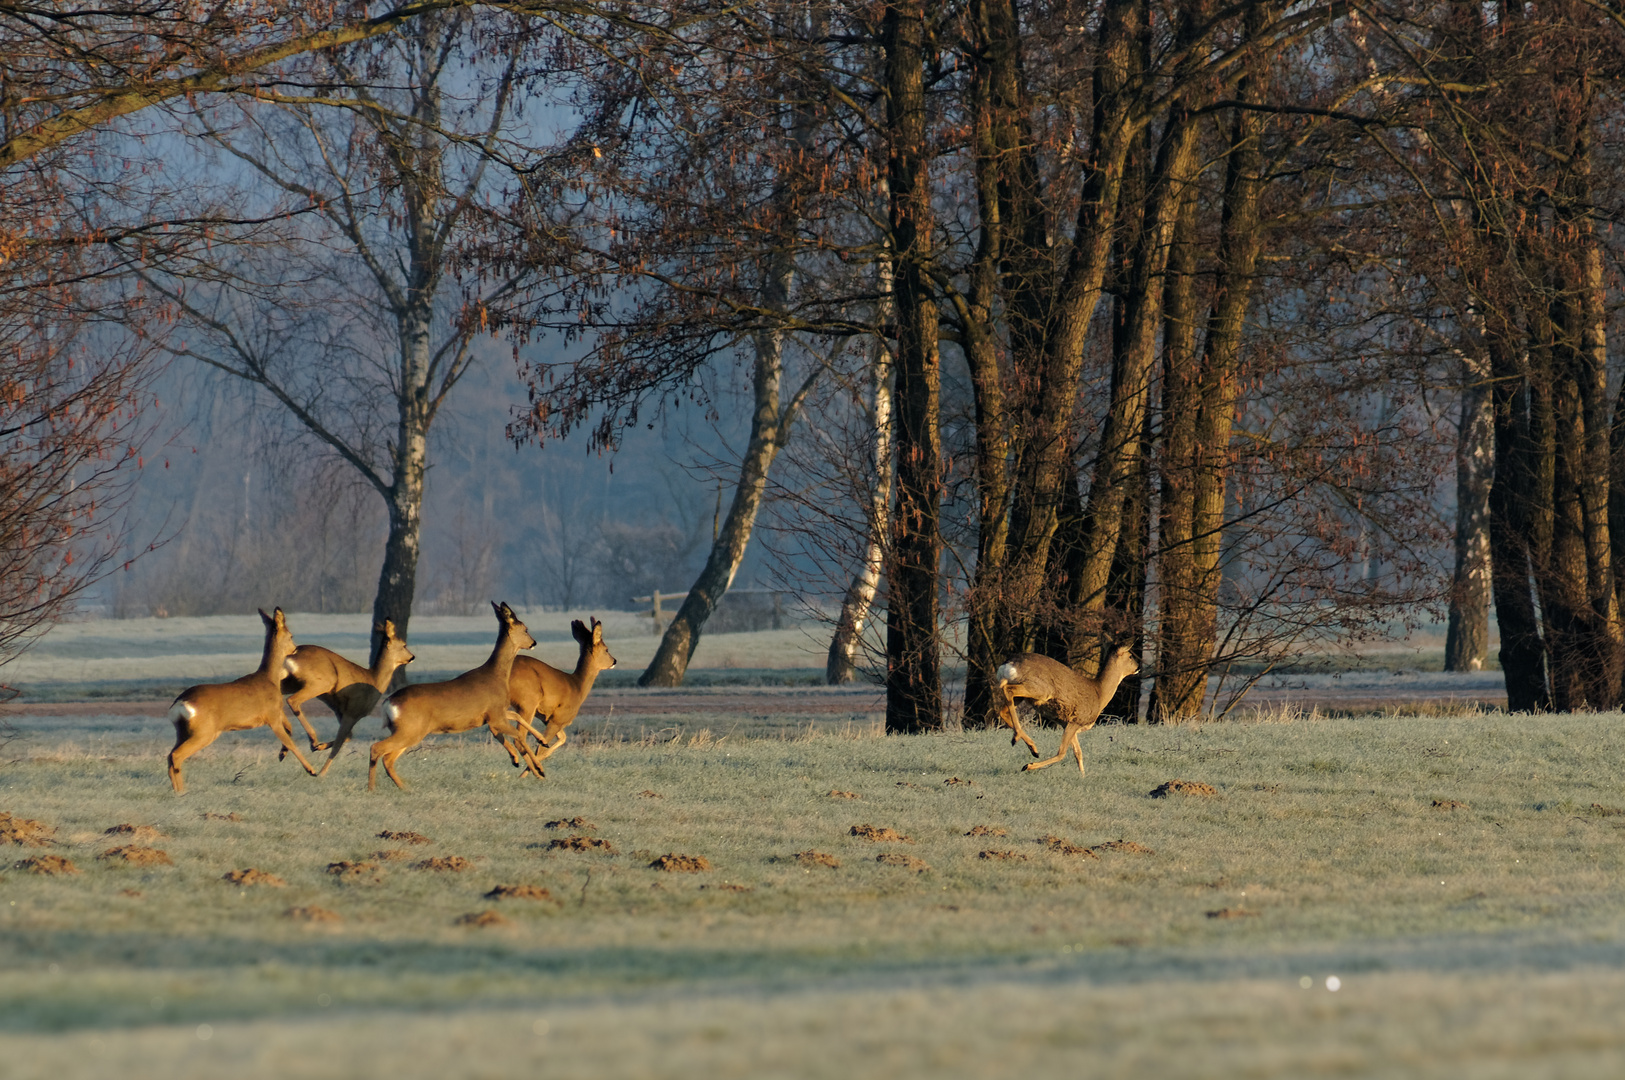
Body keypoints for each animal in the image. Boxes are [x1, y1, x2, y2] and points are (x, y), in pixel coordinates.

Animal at [166, 607, 318, 792]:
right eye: (291, 636)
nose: (295, 649)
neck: (270, 678)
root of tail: (180, 703)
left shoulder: (276, 711)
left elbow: (289, 728)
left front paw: (283, 754)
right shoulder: (272, 717)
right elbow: (290, 742)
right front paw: (312, 770)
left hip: (183, 732)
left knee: (170, 756)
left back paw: (179, 790)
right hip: (204, 732)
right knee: (176, 755)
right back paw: (181, 792)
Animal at [276, 623, 412, 776]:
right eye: (404, 645)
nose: (412, 657)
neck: (374, 679)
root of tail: (293, 654)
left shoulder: (340, 710)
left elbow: (347, 737)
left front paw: (320, 747)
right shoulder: (352, 712)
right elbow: (338, 745)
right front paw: (321, 772)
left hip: (290, 682)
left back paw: (285, 751)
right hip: (319, 683)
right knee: (292, 701)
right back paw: (312, 741)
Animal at [370, 600, 542, 789]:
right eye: (525, 629)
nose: (533, 642)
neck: (497, 676)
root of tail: (388, 702)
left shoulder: (495, 714)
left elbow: (516, 722)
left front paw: (529, 751)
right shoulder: (496, 716)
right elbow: (518, 735)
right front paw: (539, 769)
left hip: (409, 731)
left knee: (388, 758)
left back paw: (404, 789)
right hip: (410, 730)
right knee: (377, 749)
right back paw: (372, 789)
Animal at [507, 613, 614, 776]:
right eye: (606, 649)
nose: (614, 661)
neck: (577, 686)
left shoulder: (549, 719)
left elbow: (562, 739)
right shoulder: (557, 719)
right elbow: (541, 749)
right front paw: (531, 772)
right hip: (527, 703)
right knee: (519, 738)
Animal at [988, 649, 1144, 776]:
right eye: (1130, 656)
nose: (1139, 667)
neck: (1099, 694)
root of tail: (1008, 664)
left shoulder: (1067, 723)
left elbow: (1078, 753)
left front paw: (1083, 776)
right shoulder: (1076, 720)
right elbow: (1062, 753)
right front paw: (1028, 766)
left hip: (1026, 695)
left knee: (1003, 709)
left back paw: (1031, 747)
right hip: (1040, 689)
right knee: (1008, 689)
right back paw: (1021, 740)